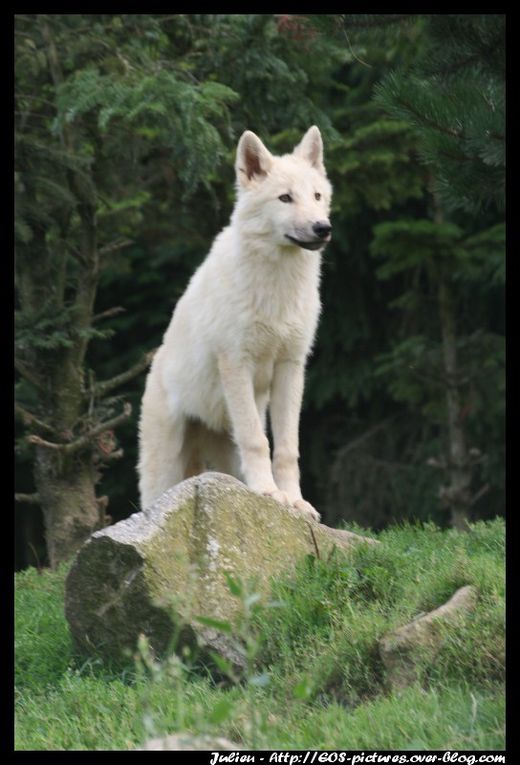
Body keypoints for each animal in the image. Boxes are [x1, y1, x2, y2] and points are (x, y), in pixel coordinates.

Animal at [137, 125, 334, 524]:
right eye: (285, 198)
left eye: (317, 196)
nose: (322, 227)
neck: (277, 285)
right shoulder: (236, 363)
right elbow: (258, 440)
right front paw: (268, 494)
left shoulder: (291, 368)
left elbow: (286, 448)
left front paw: (295, 502)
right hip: (164, 470)